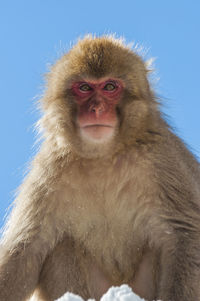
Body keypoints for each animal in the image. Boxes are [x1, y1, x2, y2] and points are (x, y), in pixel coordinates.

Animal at [0, 35, 200, 300]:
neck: (103, 157)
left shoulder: (163, 161)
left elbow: (183, 234)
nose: (97, 109)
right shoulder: (49, 172)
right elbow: (25, 250)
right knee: (62, 245)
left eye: (110, 87)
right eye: (84, 88)